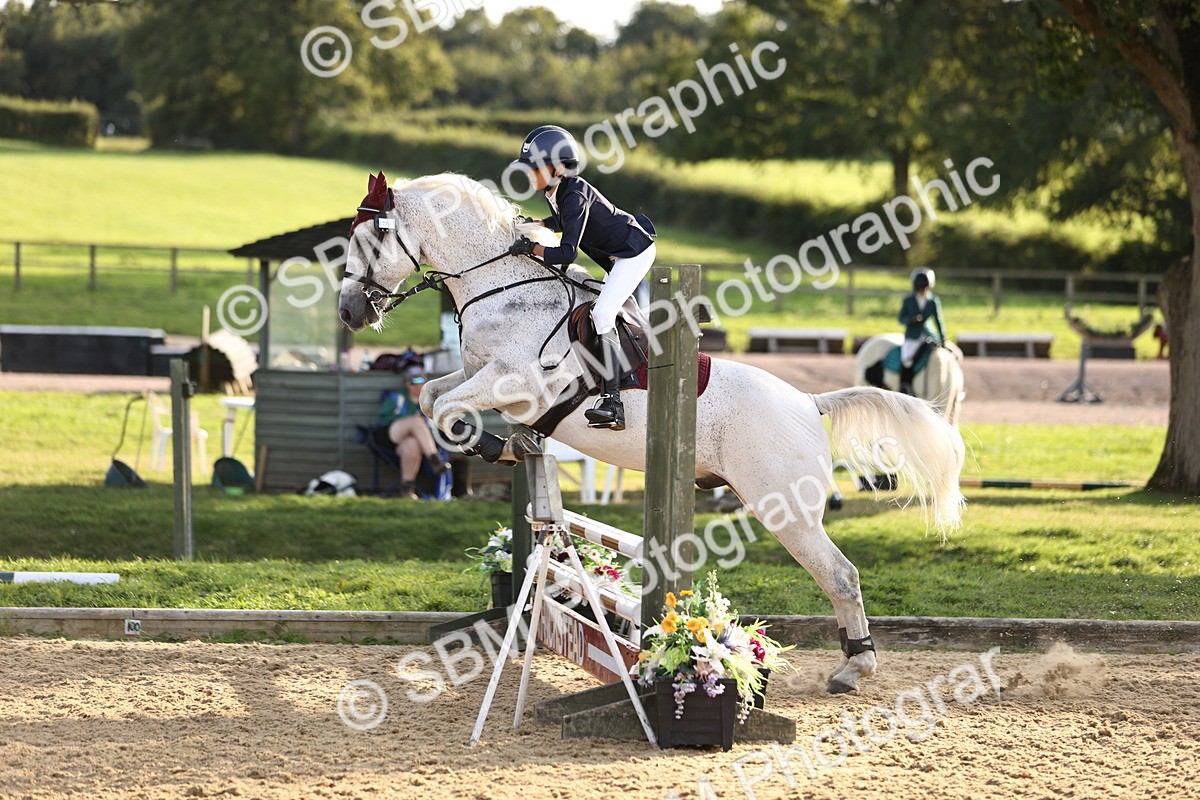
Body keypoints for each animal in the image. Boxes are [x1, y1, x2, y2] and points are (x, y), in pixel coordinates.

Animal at [337, 172, 966, 694]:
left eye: (369, 241)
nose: (348, 312)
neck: (502, 287)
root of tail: (810, 404)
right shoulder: (476, 376)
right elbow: (430, 397)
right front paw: (511, 445)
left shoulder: (517, 381)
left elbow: (445, 410)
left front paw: (498, 446)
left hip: (783, 508)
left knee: (841, 574)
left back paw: (855, 667)